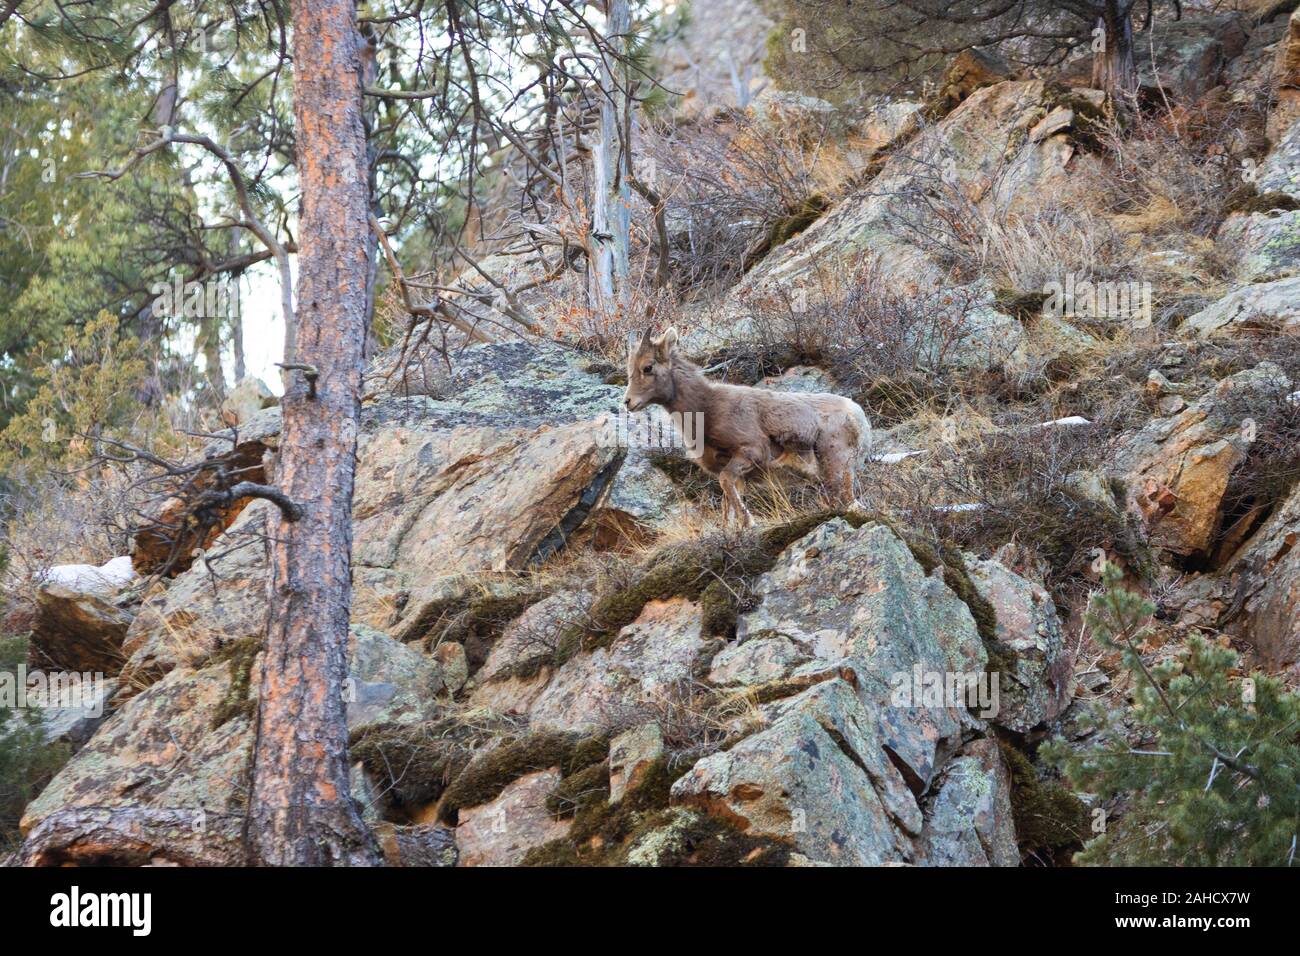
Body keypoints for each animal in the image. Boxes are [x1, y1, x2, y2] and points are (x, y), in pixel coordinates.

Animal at [621, 327, 868, 522]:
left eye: (648, 367)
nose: (628, 402)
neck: (707, 408)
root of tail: (858, 417)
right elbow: (727, 504)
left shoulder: (750, 452)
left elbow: (726, 484)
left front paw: (748, 522)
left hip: (836, 465)